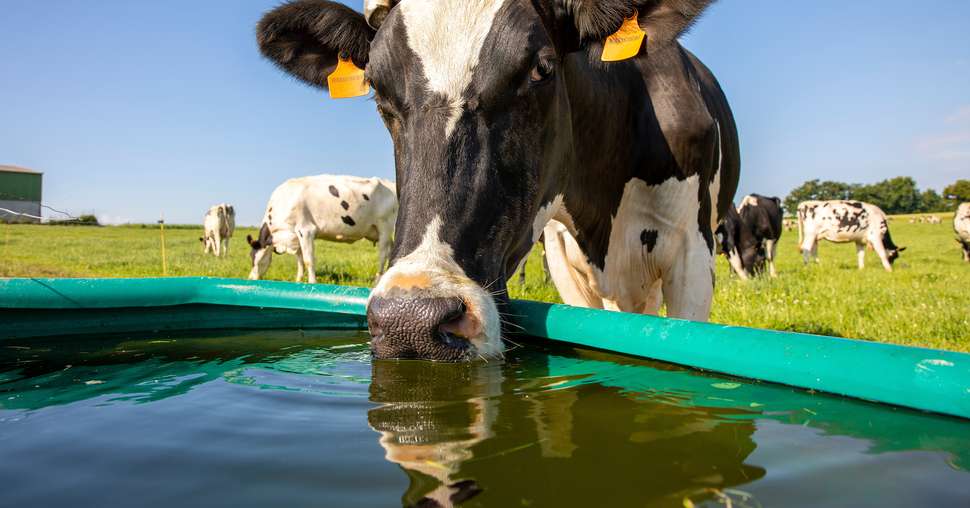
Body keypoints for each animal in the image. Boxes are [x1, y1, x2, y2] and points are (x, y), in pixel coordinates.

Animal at [246, 176, 398, 284]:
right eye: (251, 257)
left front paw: (312, 283)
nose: (250, 279)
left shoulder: (306, 230)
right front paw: (298, 281)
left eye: (257, 260)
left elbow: (308, 260)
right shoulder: (296, 236)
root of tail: (390, 184)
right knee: (390, 251)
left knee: (382, 254)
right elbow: (300, 261)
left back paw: (377, 281)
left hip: (385, 226)